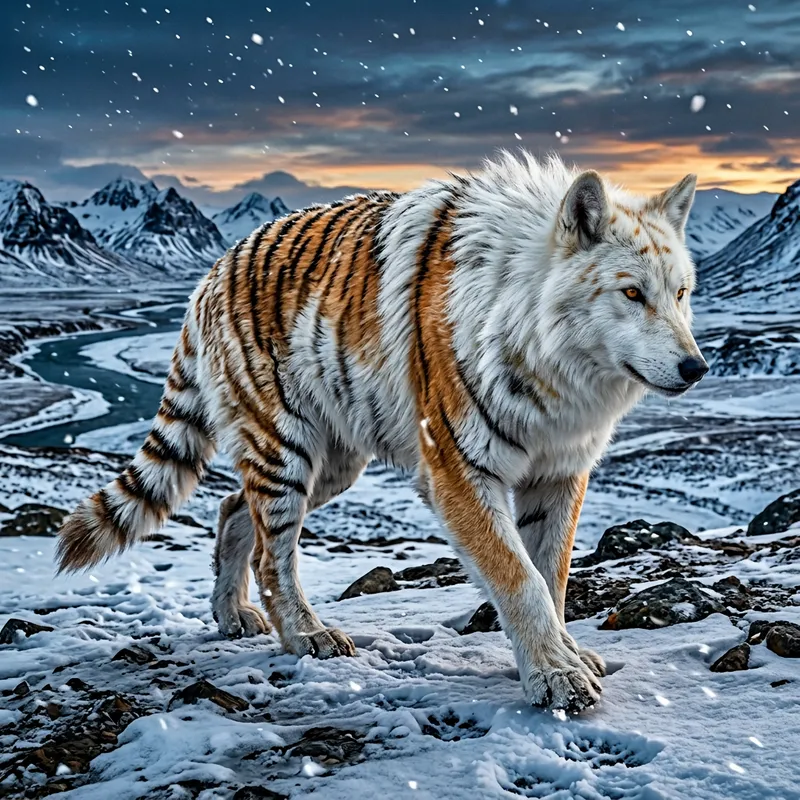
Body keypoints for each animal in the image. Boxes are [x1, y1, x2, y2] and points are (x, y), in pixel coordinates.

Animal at [55, 151, 707, 712]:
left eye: (681, 293)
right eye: (632, 293)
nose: (696, 368)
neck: (557, 370)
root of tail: (211, 273)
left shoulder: (560, 471)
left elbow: (552, 576)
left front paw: (567, 658)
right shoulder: (460, 467)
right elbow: (519, 579)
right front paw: (555, 677)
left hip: (334, 463)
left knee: (232, 509)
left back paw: (232, 616)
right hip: (286, 450)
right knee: (273, 555)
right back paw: (308, 636)